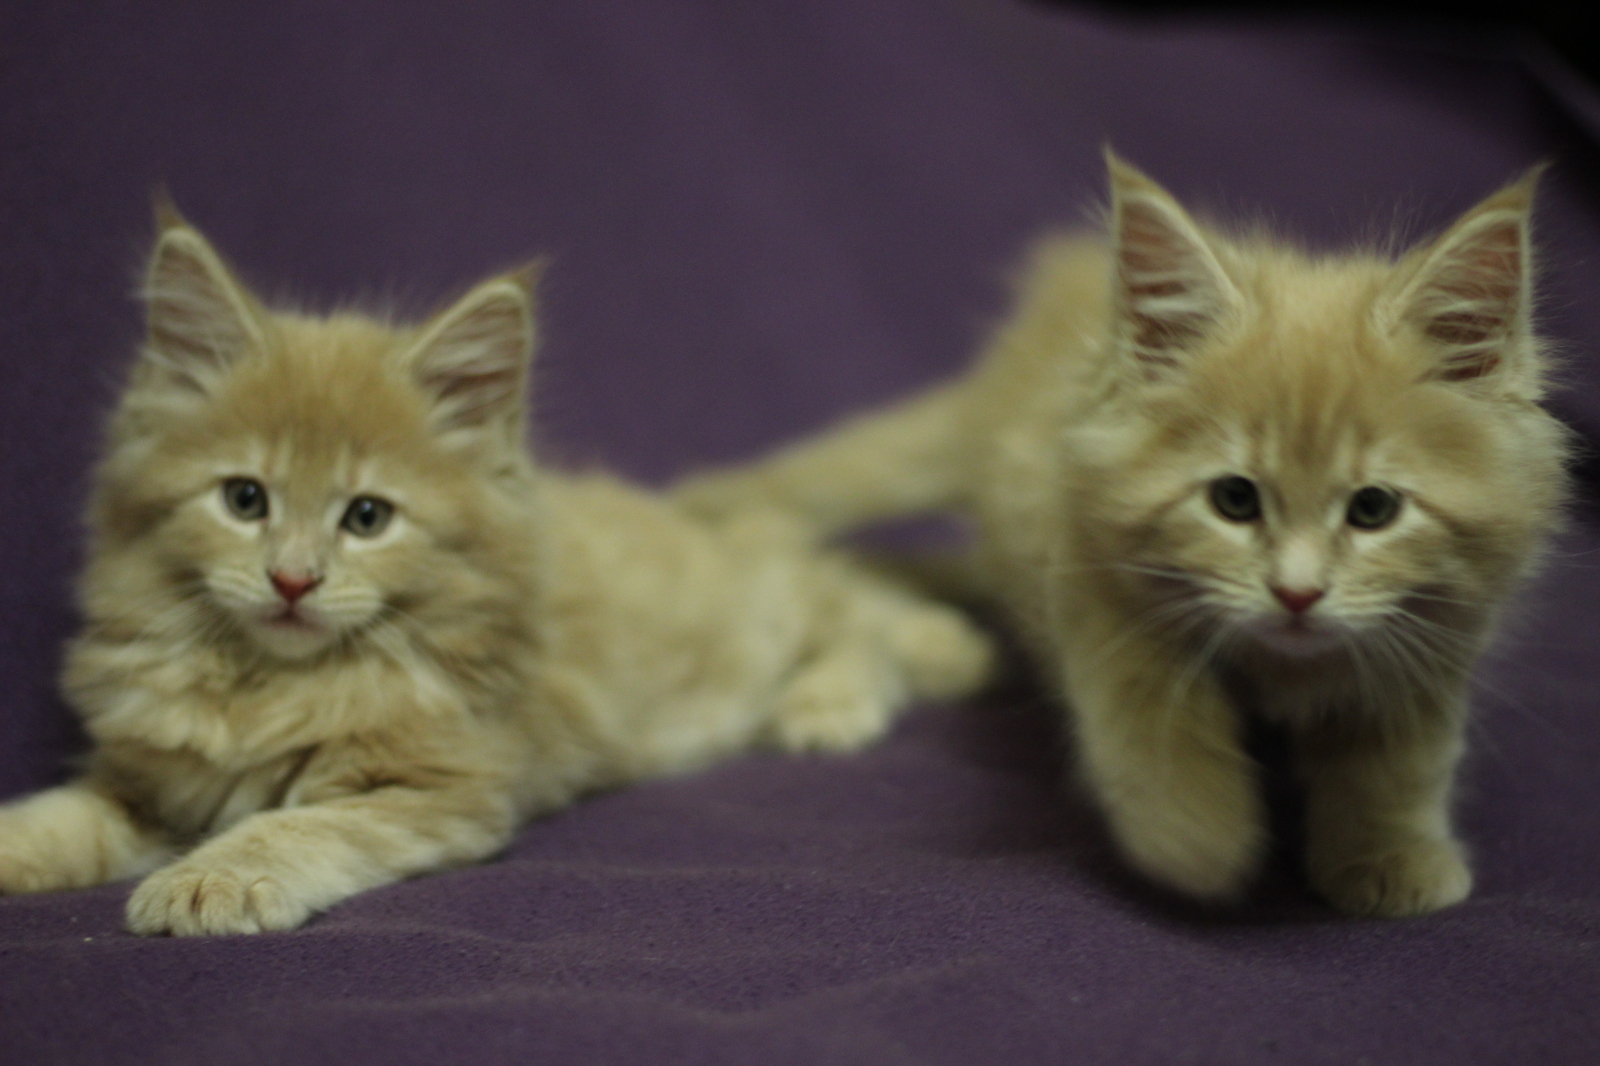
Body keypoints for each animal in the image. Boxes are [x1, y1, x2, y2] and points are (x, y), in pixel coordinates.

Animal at [0, 204, 992, 928]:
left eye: (368, 517)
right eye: (245, 500)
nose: (292, 581)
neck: (264, 687)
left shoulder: (442, 790)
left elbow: (296, 824)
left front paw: (211, 879)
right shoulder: (146, 782)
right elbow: (61, 816)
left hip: (759, 606)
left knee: (857, 612)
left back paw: (851, 694)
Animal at [681, 151, 1568, 915]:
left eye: (1375, 509)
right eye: (1234, 500)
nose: (1297, 594)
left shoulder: (1439, 634)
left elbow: (1402, 757)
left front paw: (1389, 854)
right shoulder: (1081, 557)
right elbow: (1148, 713)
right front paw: (1196, 836)